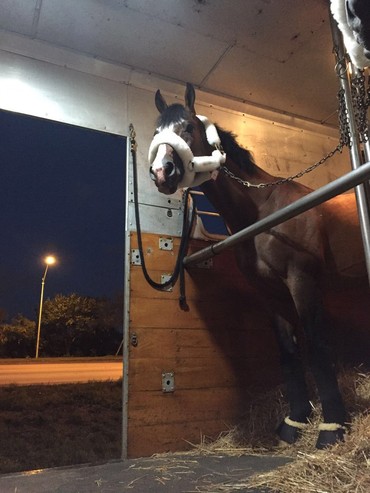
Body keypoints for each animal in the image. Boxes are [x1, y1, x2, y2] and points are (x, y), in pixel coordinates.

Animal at [147, 82, 364, 448]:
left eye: (187, 127)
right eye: (155, 132)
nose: (162, 172)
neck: (263, 211)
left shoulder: (302, 281)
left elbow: (317, 346)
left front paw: (331, 428)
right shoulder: (269, 292)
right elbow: (288, 353)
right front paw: (294, 422)